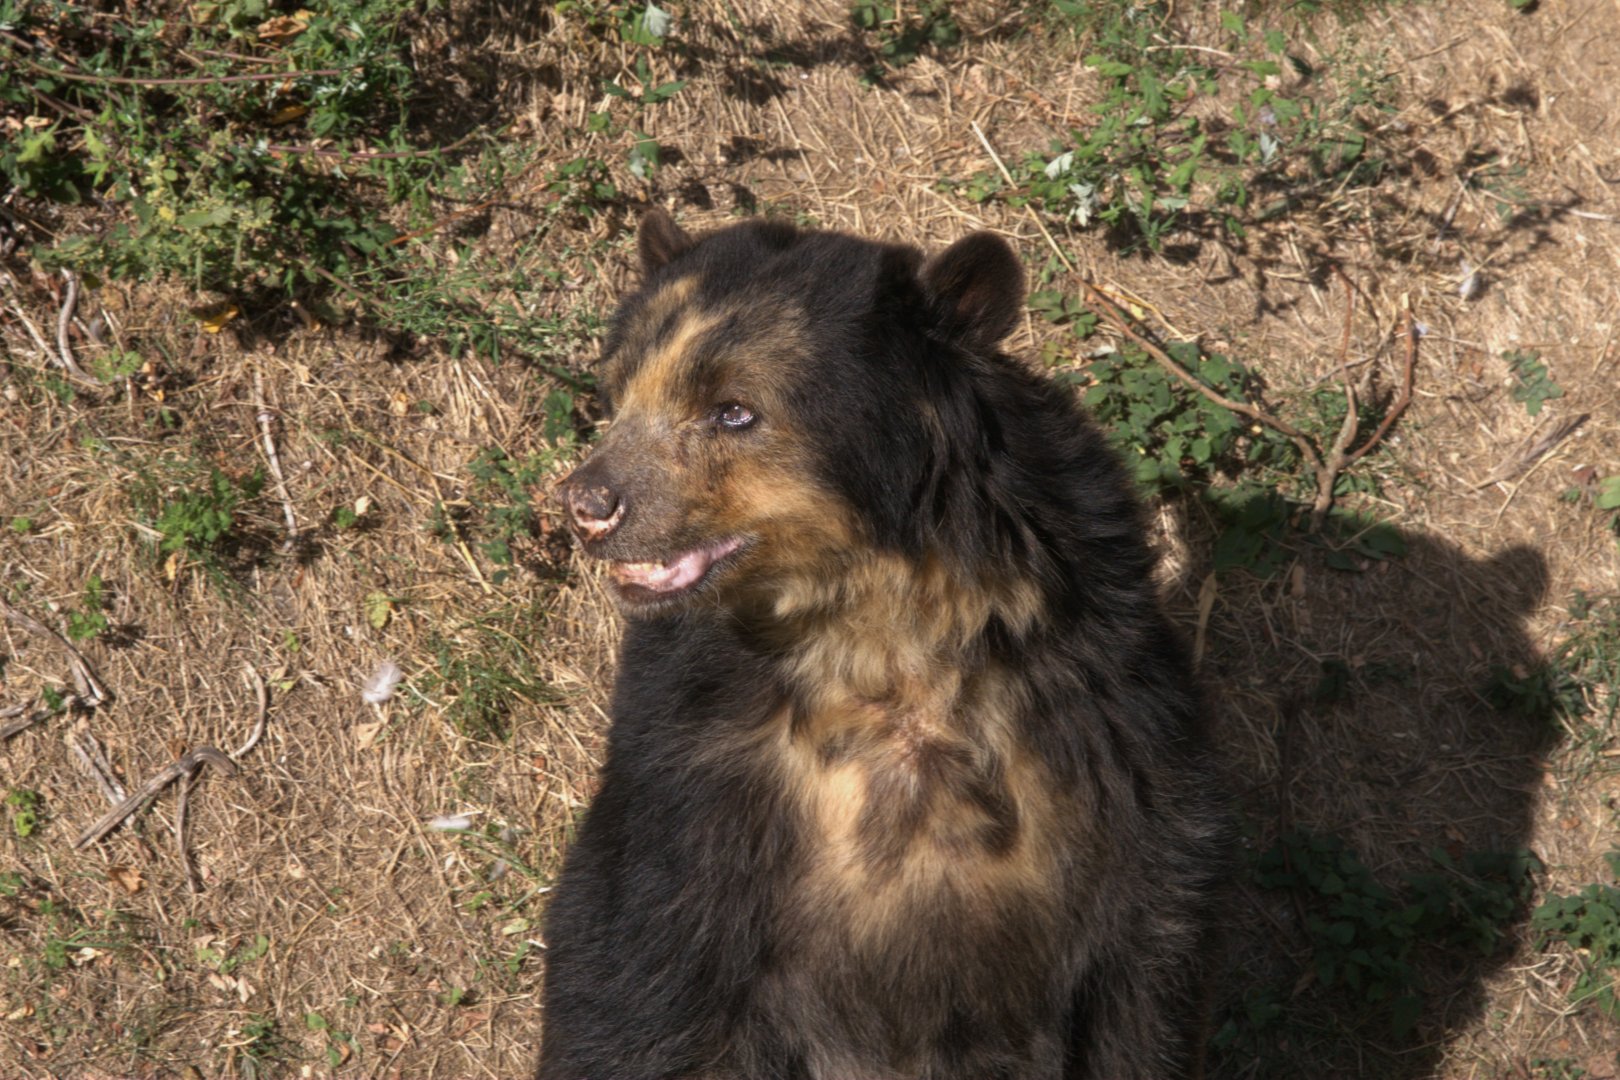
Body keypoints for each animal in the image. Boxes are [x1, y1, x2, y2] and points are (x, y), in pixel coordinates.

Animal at [541, 209, 1230, 1080]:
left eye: (733, 410)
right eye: (615, 394)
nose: (588, 505)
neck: (876, 629)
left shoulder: (1110, 733)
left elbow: (1142, 992)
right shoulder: (690, 772)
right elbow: (638, 982)